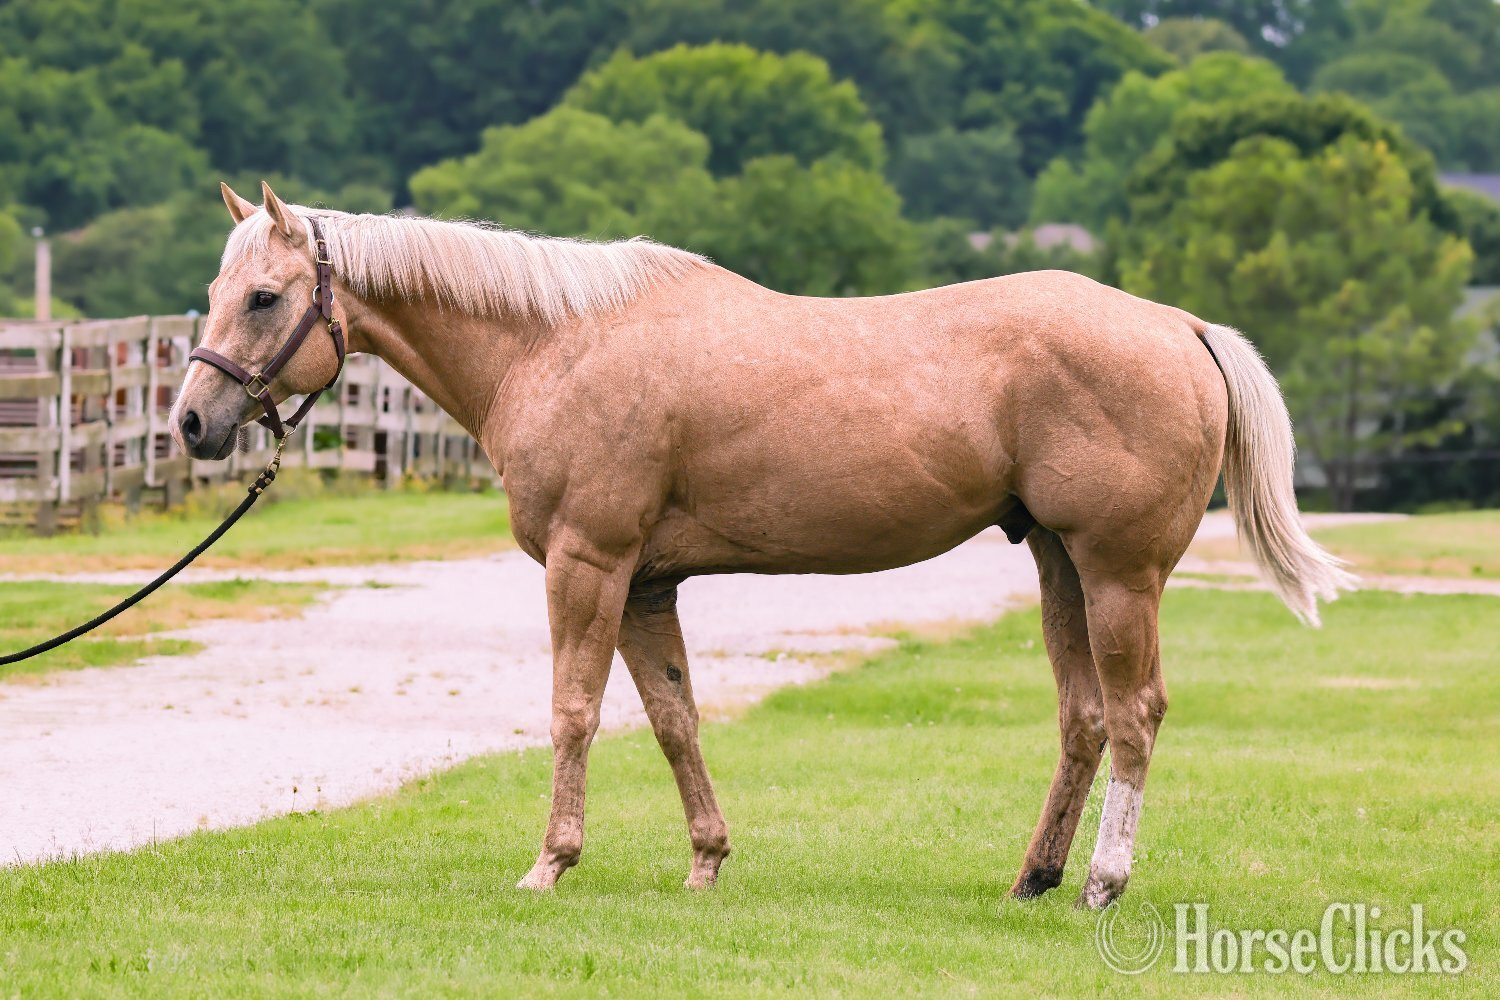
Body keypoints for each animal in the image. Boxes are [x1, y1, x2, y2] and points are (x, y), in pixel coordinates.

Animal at [172, 181, 1353, 908]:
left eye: (265, 296)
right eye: (214, 293)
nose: (190, 423)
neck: (557, 343)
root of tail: (1178, 326)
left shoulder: (590, 564)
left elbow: (573, 712)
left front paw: (552, 864)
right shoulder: (648, 583)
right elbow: (675, 719)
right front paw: (706, 862)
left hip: (1116, 571)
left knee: (1138, 715)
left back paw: (1105, 882)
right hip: (1058, 561)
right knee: (1086, 719)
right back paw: (1034, 878)